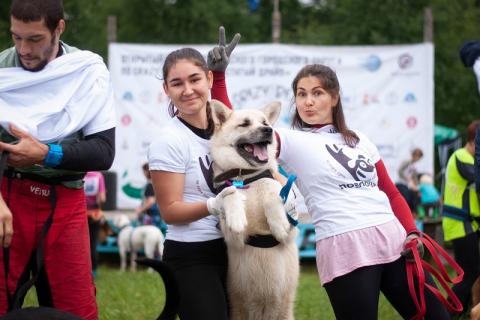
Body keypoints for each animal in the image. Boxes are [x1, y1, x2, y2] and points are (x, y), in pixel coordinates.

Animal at [209, 99, 298, 320]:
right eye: (244, 124)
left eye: (265, 122)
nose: (268, 130)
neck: (247, 177)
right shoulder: (233, 238)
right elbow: (230, 194)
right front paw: (236, 216)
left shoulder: (293, 230)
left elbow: (273, 194)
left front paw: (278, 223)